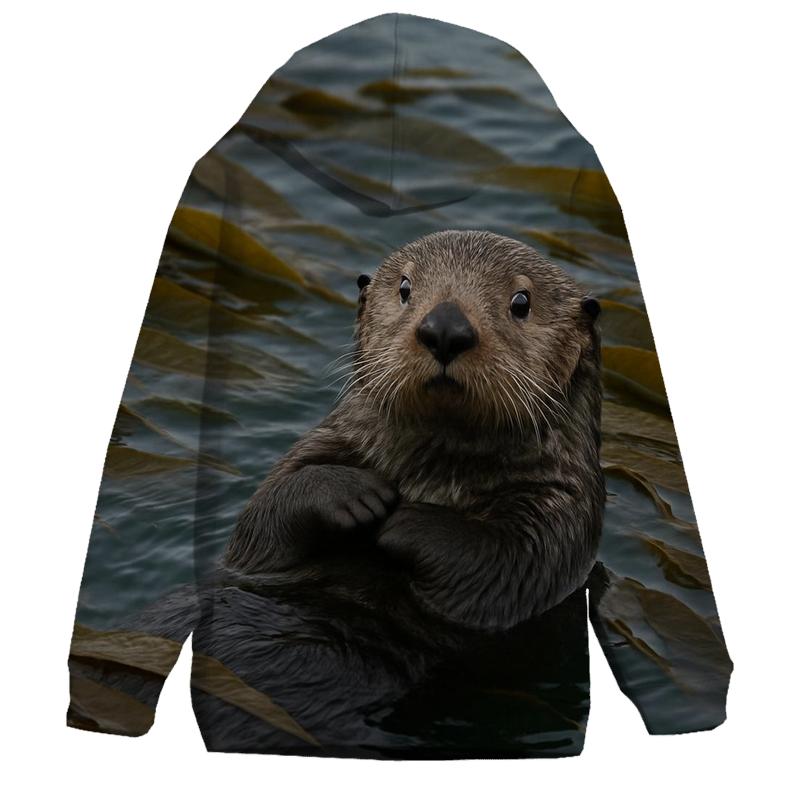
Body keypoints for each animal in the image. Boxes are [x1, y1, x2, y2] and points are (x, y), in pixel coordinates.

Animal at [224, 229, 605, 632]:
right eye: (405, 287)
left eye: (522, 302)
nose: (446, 328)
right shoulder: (328, 443)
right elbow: (262, 520)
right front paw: (358, 493)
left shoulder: (563, 507)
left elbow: (510, 563)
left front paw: (407, 522)